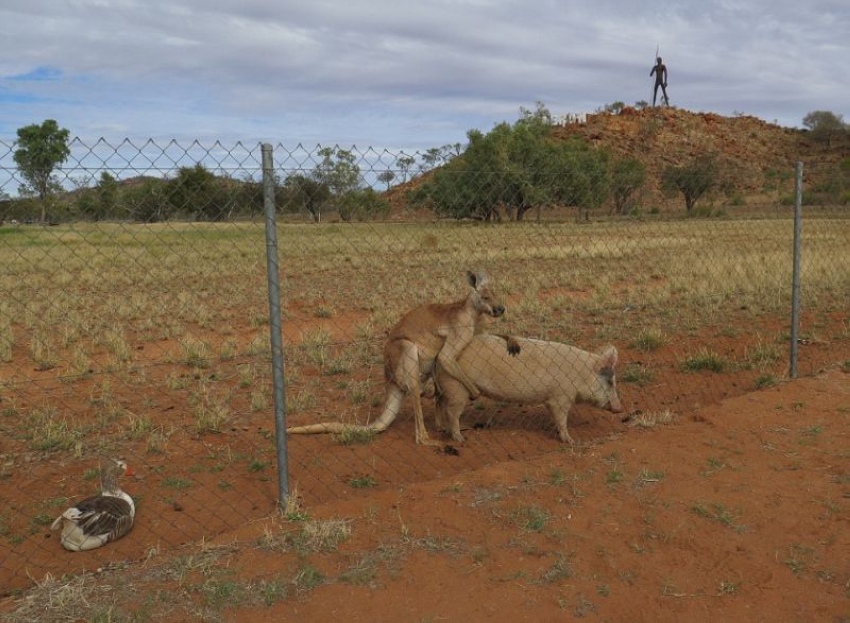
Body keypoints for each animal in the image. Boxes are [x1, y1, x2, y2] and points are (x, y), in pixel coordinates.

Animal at [434, 334, 620, 446]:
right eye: (610, 382)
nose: (619, 409)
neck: (581, 373)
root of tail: (440, 355)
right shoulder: (560, 397)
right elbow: (562, 418)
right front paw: (571, 441)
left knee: (440, 405)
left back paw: (443, 429)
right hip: (456, 387)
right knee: (451, 411)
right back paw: (460, 439)